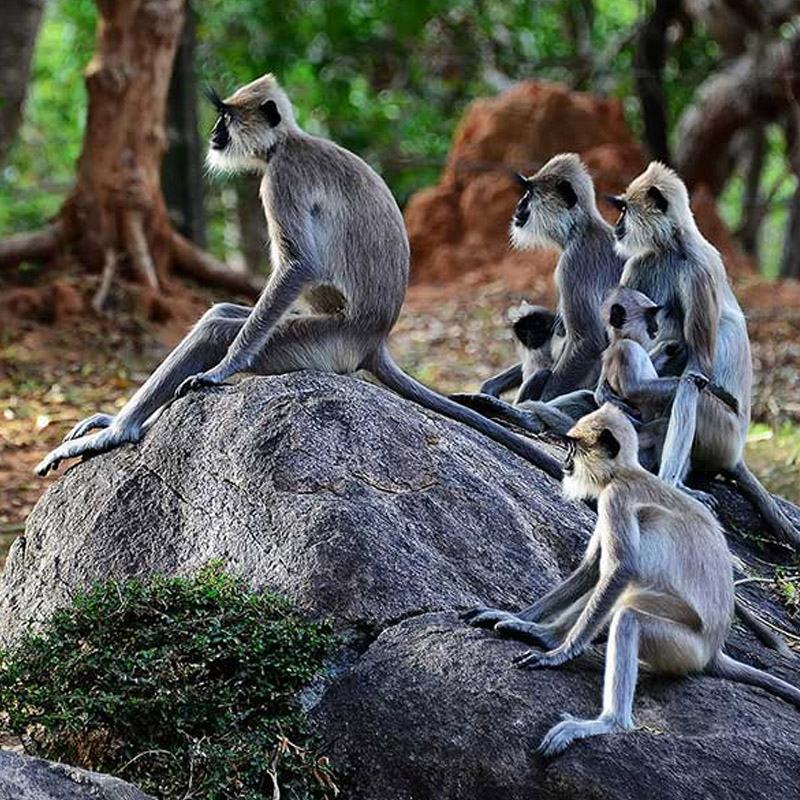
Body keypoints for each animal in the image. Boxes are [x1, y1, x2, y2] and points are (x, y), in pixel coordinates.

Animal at [34, 74, 561, 481]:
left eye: (225, 118)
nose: (213, 133)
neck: (286, 143)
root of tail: (374, 339)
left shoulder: (281, 178)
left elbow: (299, 265)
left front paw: (222, 369)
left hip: (319, 344)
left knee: (218, 327)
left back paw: (118, 431)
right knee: (222, 312)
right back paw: (114, 422)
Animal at [478, 153, 624, 404]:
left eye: (529, 193)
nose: (519, 205)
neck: (579, 230)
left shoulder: (573, 265)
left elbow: (589, 341)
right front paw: (491, 386)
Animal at [480, 404, 800, 757]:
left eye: (573, 448)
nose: (565, 464)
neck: (627, 473)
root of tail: (714, 650)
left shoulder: (615, 498)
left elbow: (620, 571)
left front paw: (558, 654)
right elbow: (593, 570)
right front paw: (523, 621)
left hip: (682, 647)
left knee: (628, 615)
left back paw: (608, 722)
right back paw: (544, 634)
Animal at [607, 161, 800, 547]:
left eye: (624, 209)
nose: (617, 225)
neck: (672, 246)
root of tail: (737, 452)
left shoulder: (697, 272)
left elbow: (697, 370)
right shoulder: (639, 262)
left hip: (722, 434)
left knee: (688, 392)